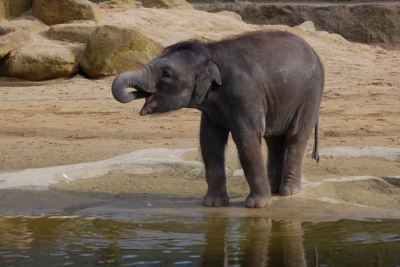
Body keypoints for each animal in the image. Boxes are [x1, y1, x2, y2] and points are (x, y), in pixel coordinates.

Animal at [111, 29, 324, 209]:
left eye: (167, 74)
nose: (136, 92)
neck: (210, 54)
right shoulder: (211, 110)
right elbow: (209, 141)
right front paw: (213, 204)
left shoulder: (246, 96)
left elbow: (247, 140)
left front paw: (257, 205)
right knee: (274, 139)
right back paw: (274, 189)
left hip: (310, 95)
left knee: (296, 135)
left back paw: (289, 192)